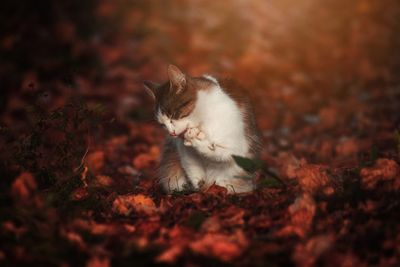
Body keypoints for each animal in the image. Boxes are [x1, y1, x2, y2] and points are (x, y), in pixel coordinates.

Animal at [144, 65, 262, 195]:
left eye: (173, 115)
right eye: (162, 124)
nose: (172, 133)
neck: (200, 123)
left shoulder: (235, 147)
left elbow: (218, 152)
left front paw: (198, 141)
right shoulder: (185, 152)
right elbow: (194, 171)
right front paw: (200, 188)